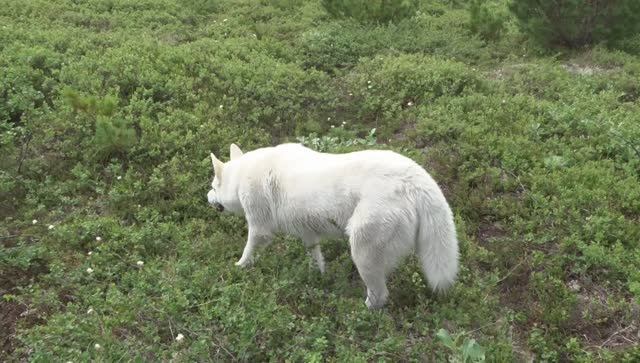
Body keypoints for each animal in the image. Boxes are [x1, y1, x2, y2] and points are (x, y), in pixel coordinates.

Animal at [210, 144, 460, 308]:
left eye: (213, 187)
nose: (207, 197)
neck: (242, 174)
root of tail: (417, 181)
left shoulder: (260, 227)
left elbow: (249, 248)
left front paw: (239, 266)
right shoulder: (308, 233)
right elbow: (315, 256)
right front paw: (317, 276)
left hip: (362, 251)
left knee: (379, 295)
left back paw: (360, 312)